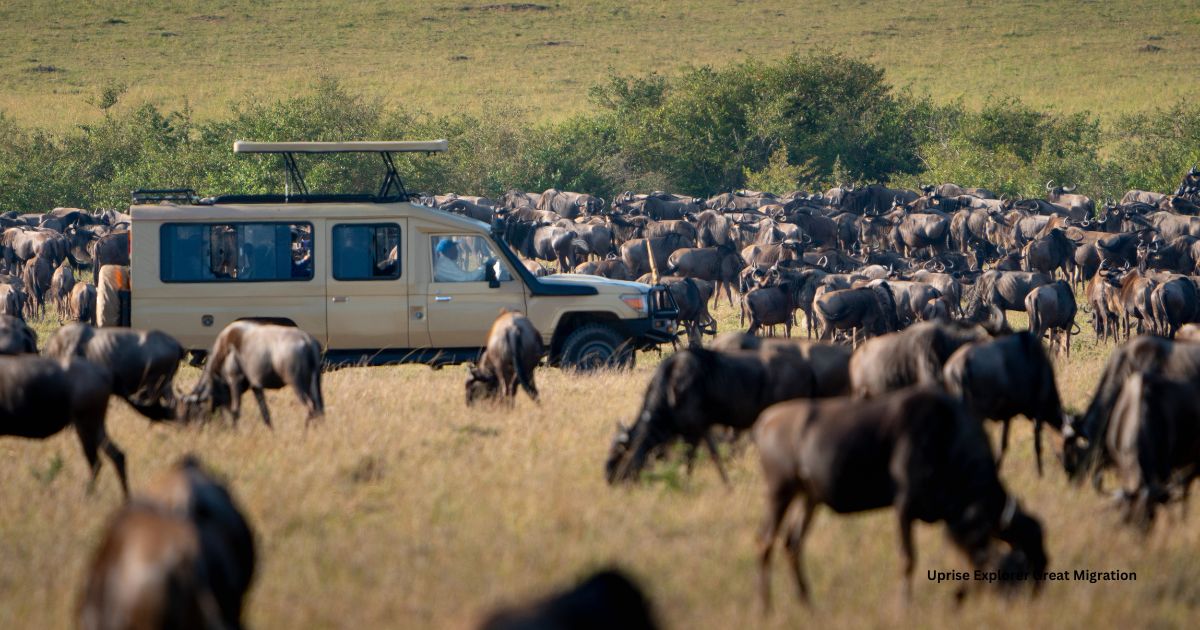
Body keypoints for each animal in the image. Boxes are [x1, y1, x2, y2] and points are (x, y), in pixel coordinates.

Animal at [753, 388, 1046, 609]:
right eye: (1018, 565)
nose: (1022, 601)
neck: (945, 437)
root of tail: (766, 421)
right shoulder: (904, 507)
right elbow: (908, 560)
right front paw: (904, 606)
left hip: (808, 498)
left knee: (792, 543)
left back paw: (808, 603)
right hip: (780, 493)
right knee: (765, 542)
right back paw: (765, 607)